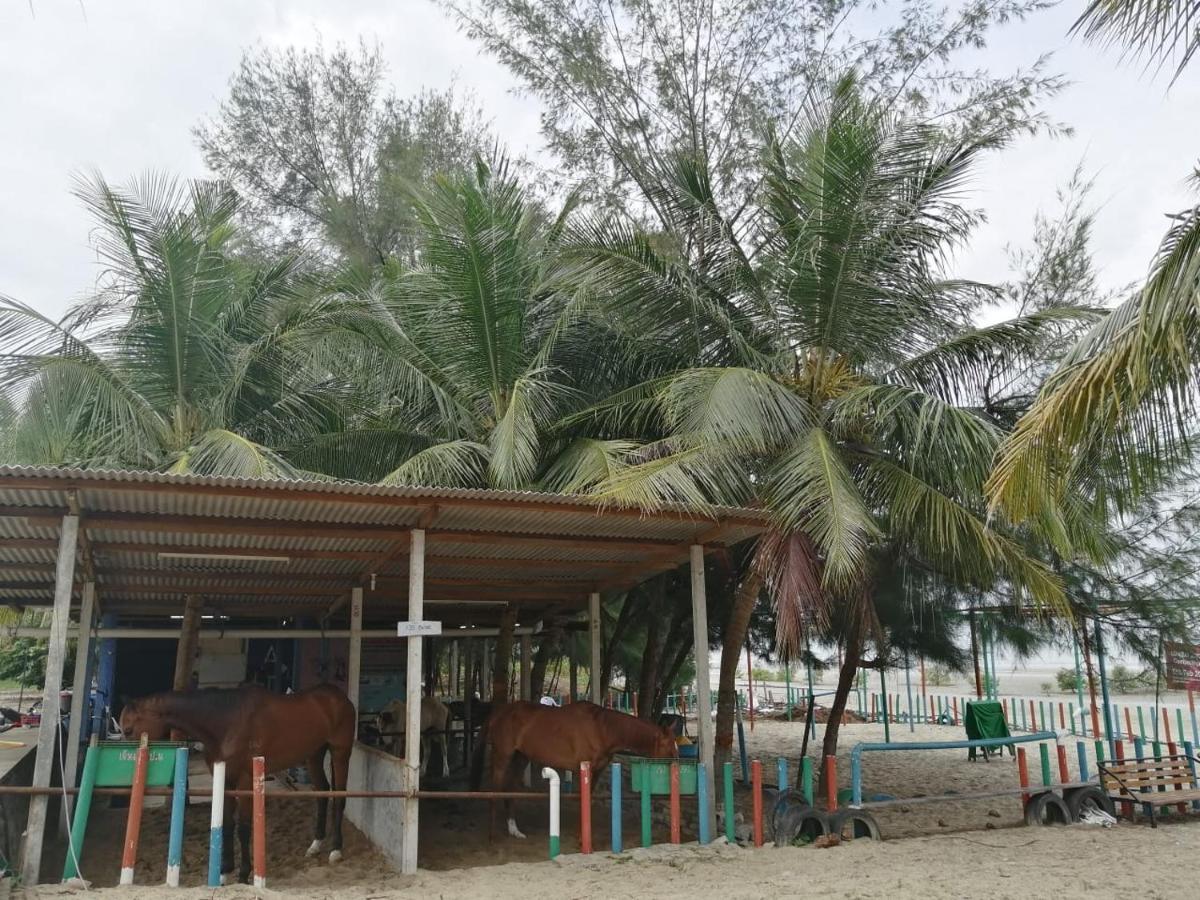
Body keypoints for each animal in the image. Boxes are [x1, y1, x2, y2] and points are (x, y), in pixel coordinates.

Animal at [121, 686, 355, 883]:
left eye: (128, 729)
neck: (225, 721)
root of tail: (340, 697)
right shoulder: (225, 780)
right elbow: (226, 824)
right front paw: (224, 872)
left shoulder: (244, 781)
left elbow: (243, 828)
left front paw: (243, 874)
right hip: (314, 755)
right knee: (322, 793)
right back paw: (315, 845)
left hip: (340, 753)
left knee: (339, 799)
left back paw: (336, 850)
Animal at [468, 700, 676, 844]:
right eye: (668, 752)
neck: (602, 729)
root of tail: (499, 712)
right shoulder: (583, 770)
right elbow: (581, 799)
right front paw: (582, 839)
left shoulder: (596, 771)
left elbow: (587, 800)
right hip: (502, 756)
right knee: (494, 789)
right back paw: (492, 836)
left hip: (521, 758)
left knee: (511, 788)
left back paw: (514, 830)